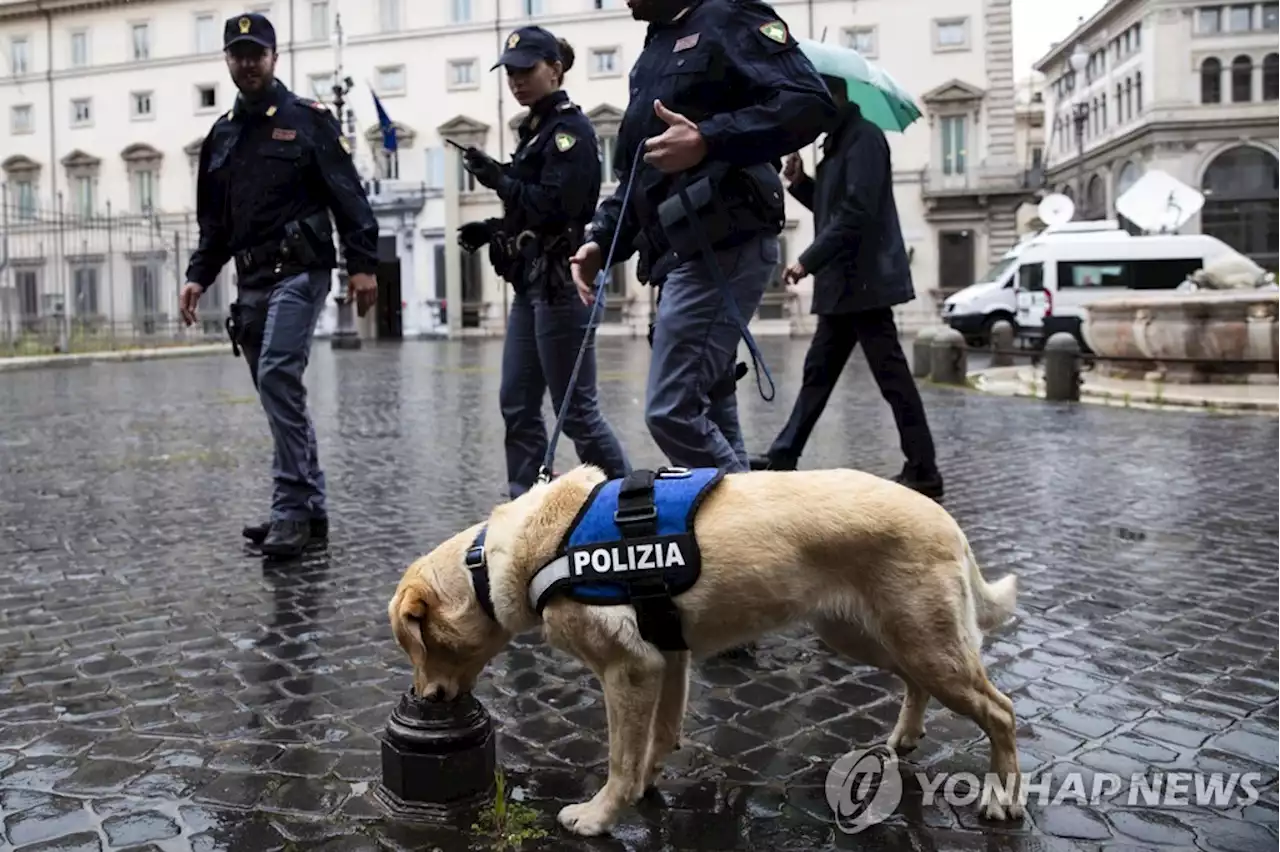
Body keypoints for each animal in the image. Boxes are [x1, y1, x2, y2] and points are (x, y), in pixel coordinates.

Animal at [386, 460, 1018, 834]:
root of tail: (947, 521)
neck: (507, 559)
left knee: (1001, 711)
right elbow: (657, 737)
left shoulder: (628, 669)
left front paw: (599, 815)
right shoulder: (667, 657)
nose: (424, 697)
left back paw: (1002, 797)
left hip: (922, 641)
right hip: (866, 634)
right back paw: (906, 736)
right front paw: (645, 786)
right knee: (915, 682)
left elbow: (620, 756)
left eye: (416, 647)